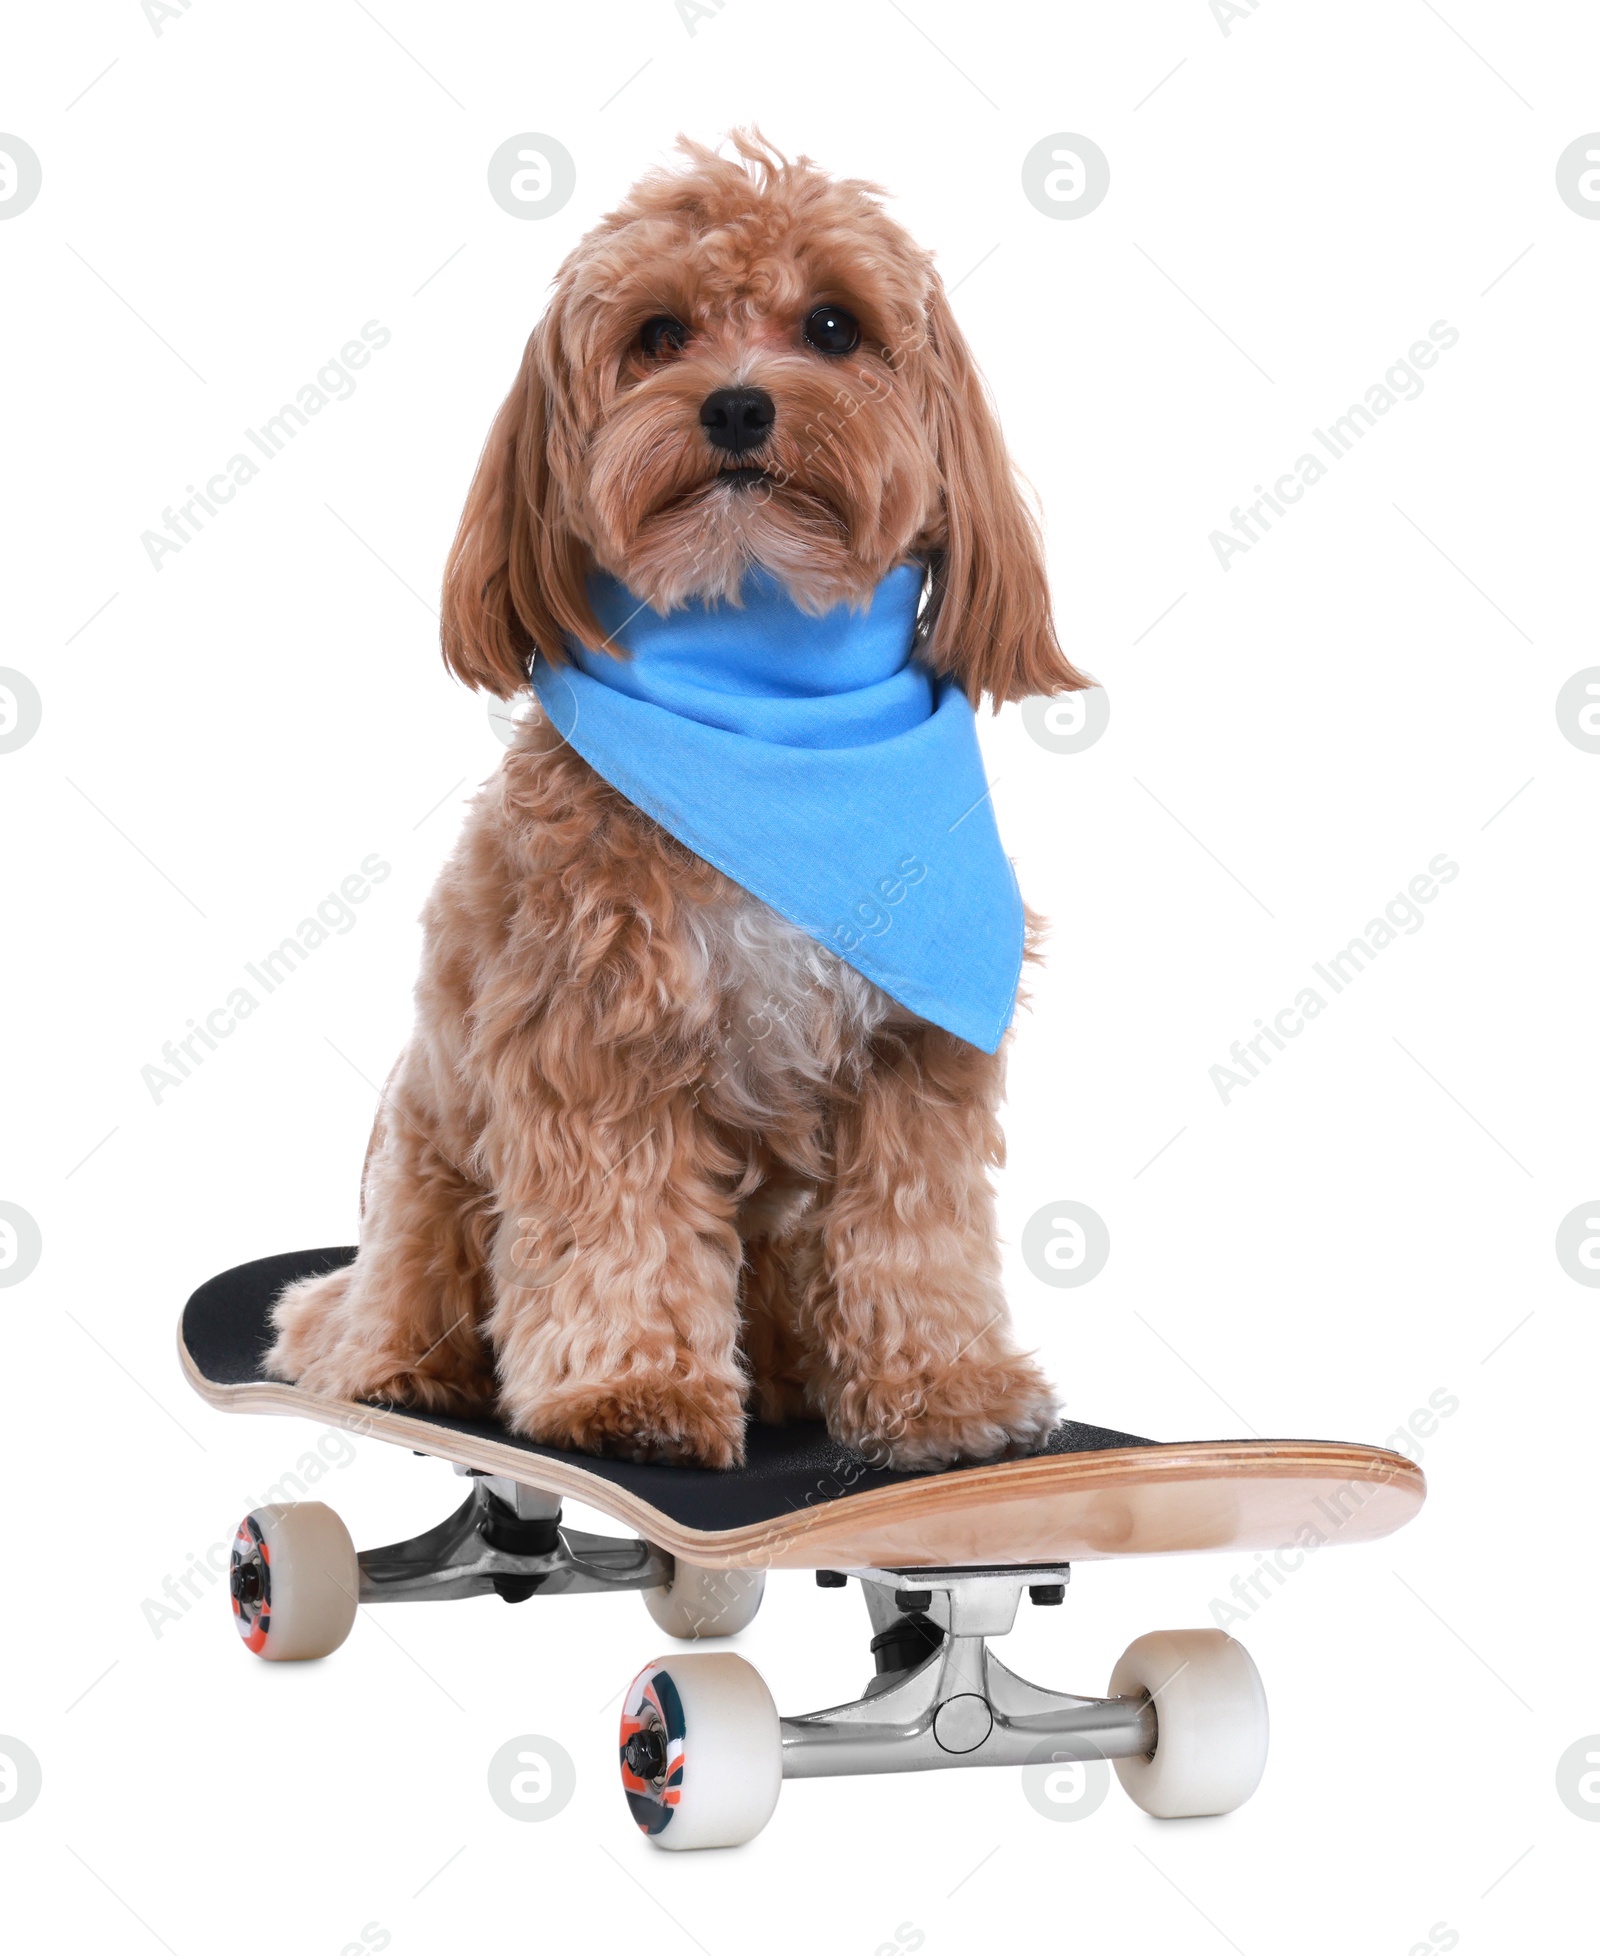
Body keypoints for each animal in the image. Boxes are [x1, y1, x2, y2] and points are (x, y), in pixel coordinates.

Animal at [264, 130, 1087, 1470]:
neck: (765, 692)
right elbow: (617, 1230)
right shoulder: (594, 1040)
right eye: (657, 334)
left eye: (833, 326)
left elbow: (913, 1241)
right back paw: (400, 1370)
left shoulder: (913, 1057)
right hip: (426, 1177)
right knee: (384, 1305)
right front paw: (630, 1392)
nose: (738, 403)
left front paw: (942, 1389)